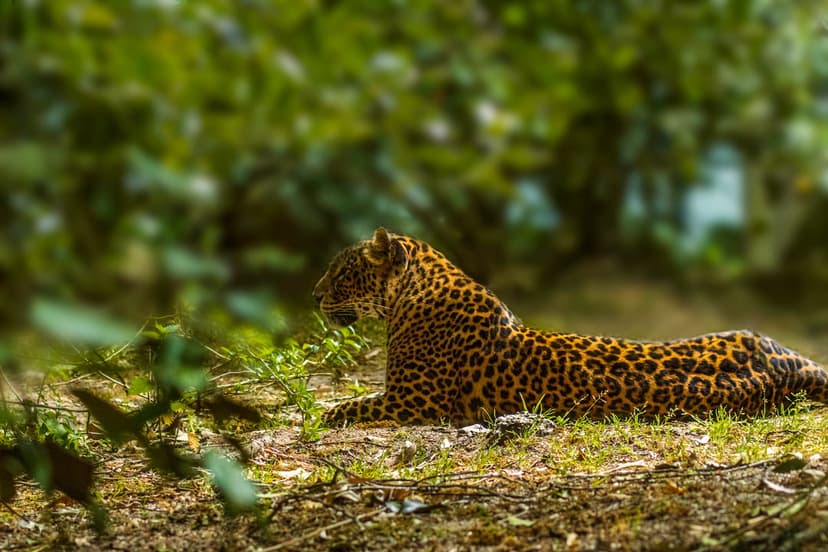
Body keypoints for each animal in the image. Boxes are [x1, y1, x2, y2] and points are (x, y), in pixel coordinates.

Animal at [313, 227, 828, 425]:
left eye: (341, 272)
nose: (314, 296)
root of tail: (791, 358)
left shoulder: (413, 400)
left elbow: (346, 409)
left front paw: (318, 415)